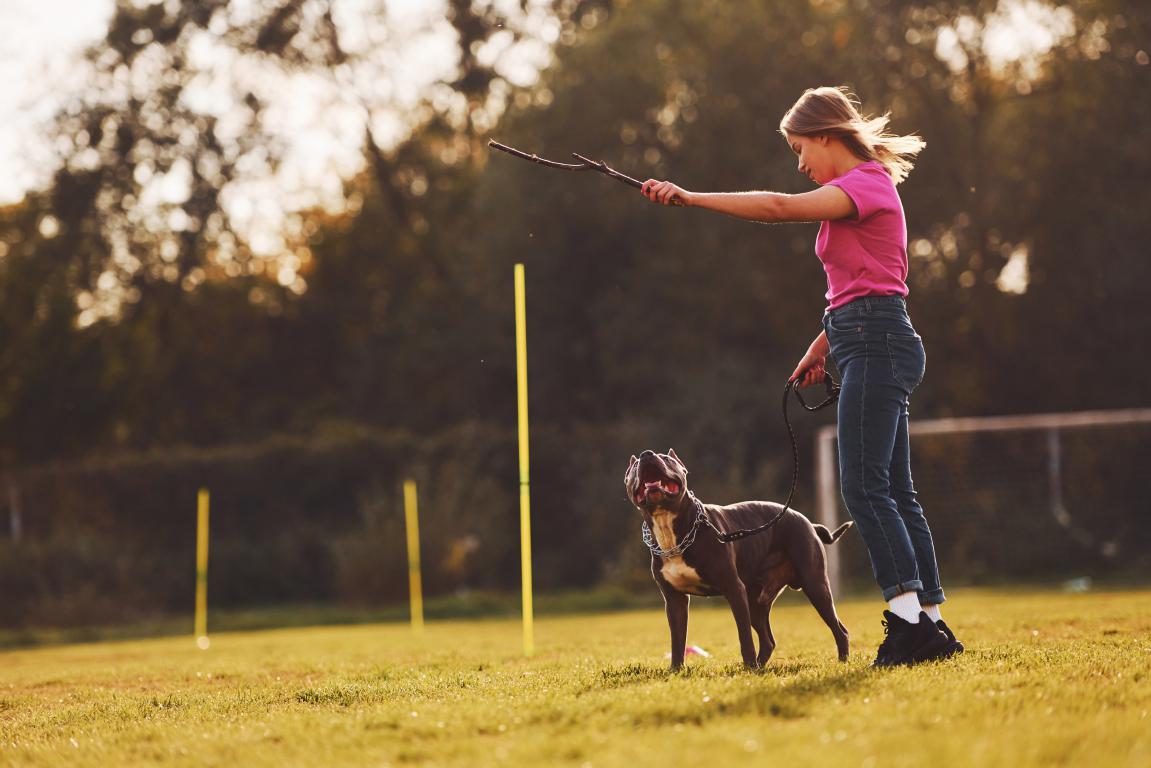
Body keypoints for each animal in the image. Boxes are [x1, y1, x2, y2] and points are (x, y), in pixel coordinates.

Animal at [626, 446, 851, 667]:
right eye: (634, 467)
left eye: (666, 458)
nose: (646, 454)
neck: (671, 532)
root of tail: (809, 523)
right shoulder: (674, 600)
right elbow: (677, 640)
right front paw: (676, 670)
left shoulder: (734, 589)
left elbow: (744, 636)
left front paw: (748, 665)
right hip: (756, 601)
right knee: (768, 640)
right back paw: (760, 667)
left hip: (814, 584)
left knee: (839, 629)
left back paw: (841, 661)